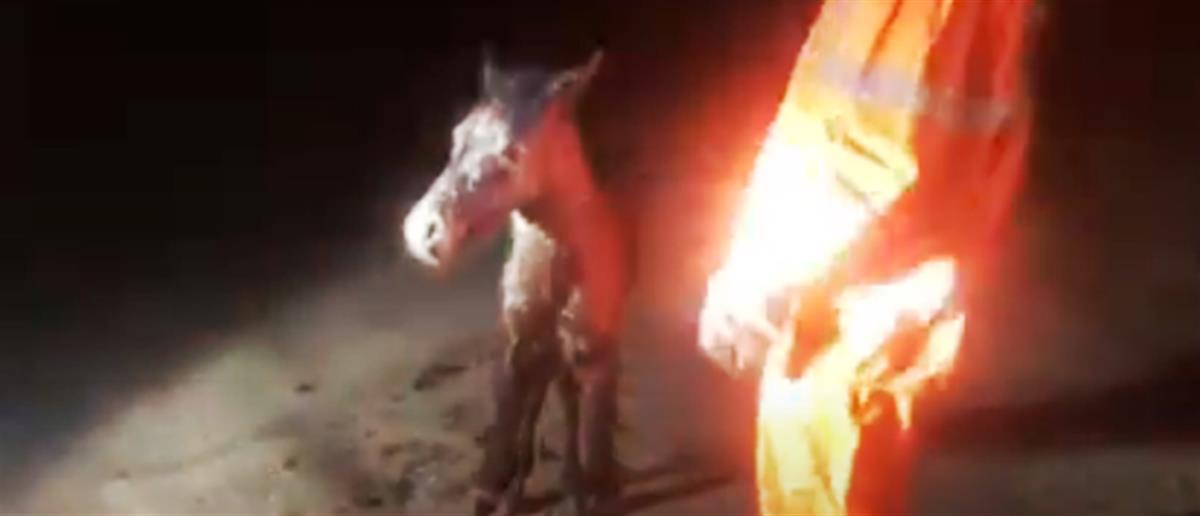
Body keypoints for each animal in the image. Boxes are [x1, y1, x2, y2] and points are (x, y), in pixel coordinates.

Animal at [401, 49, 631, 516]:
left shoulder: (593, 355)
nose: (423, 234)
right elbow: (507, 434)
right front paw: (497, 490)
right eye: (457, 135)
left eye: (513, 150)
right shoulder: (517, 350)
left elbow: (593, 439)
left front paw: (594, 486)